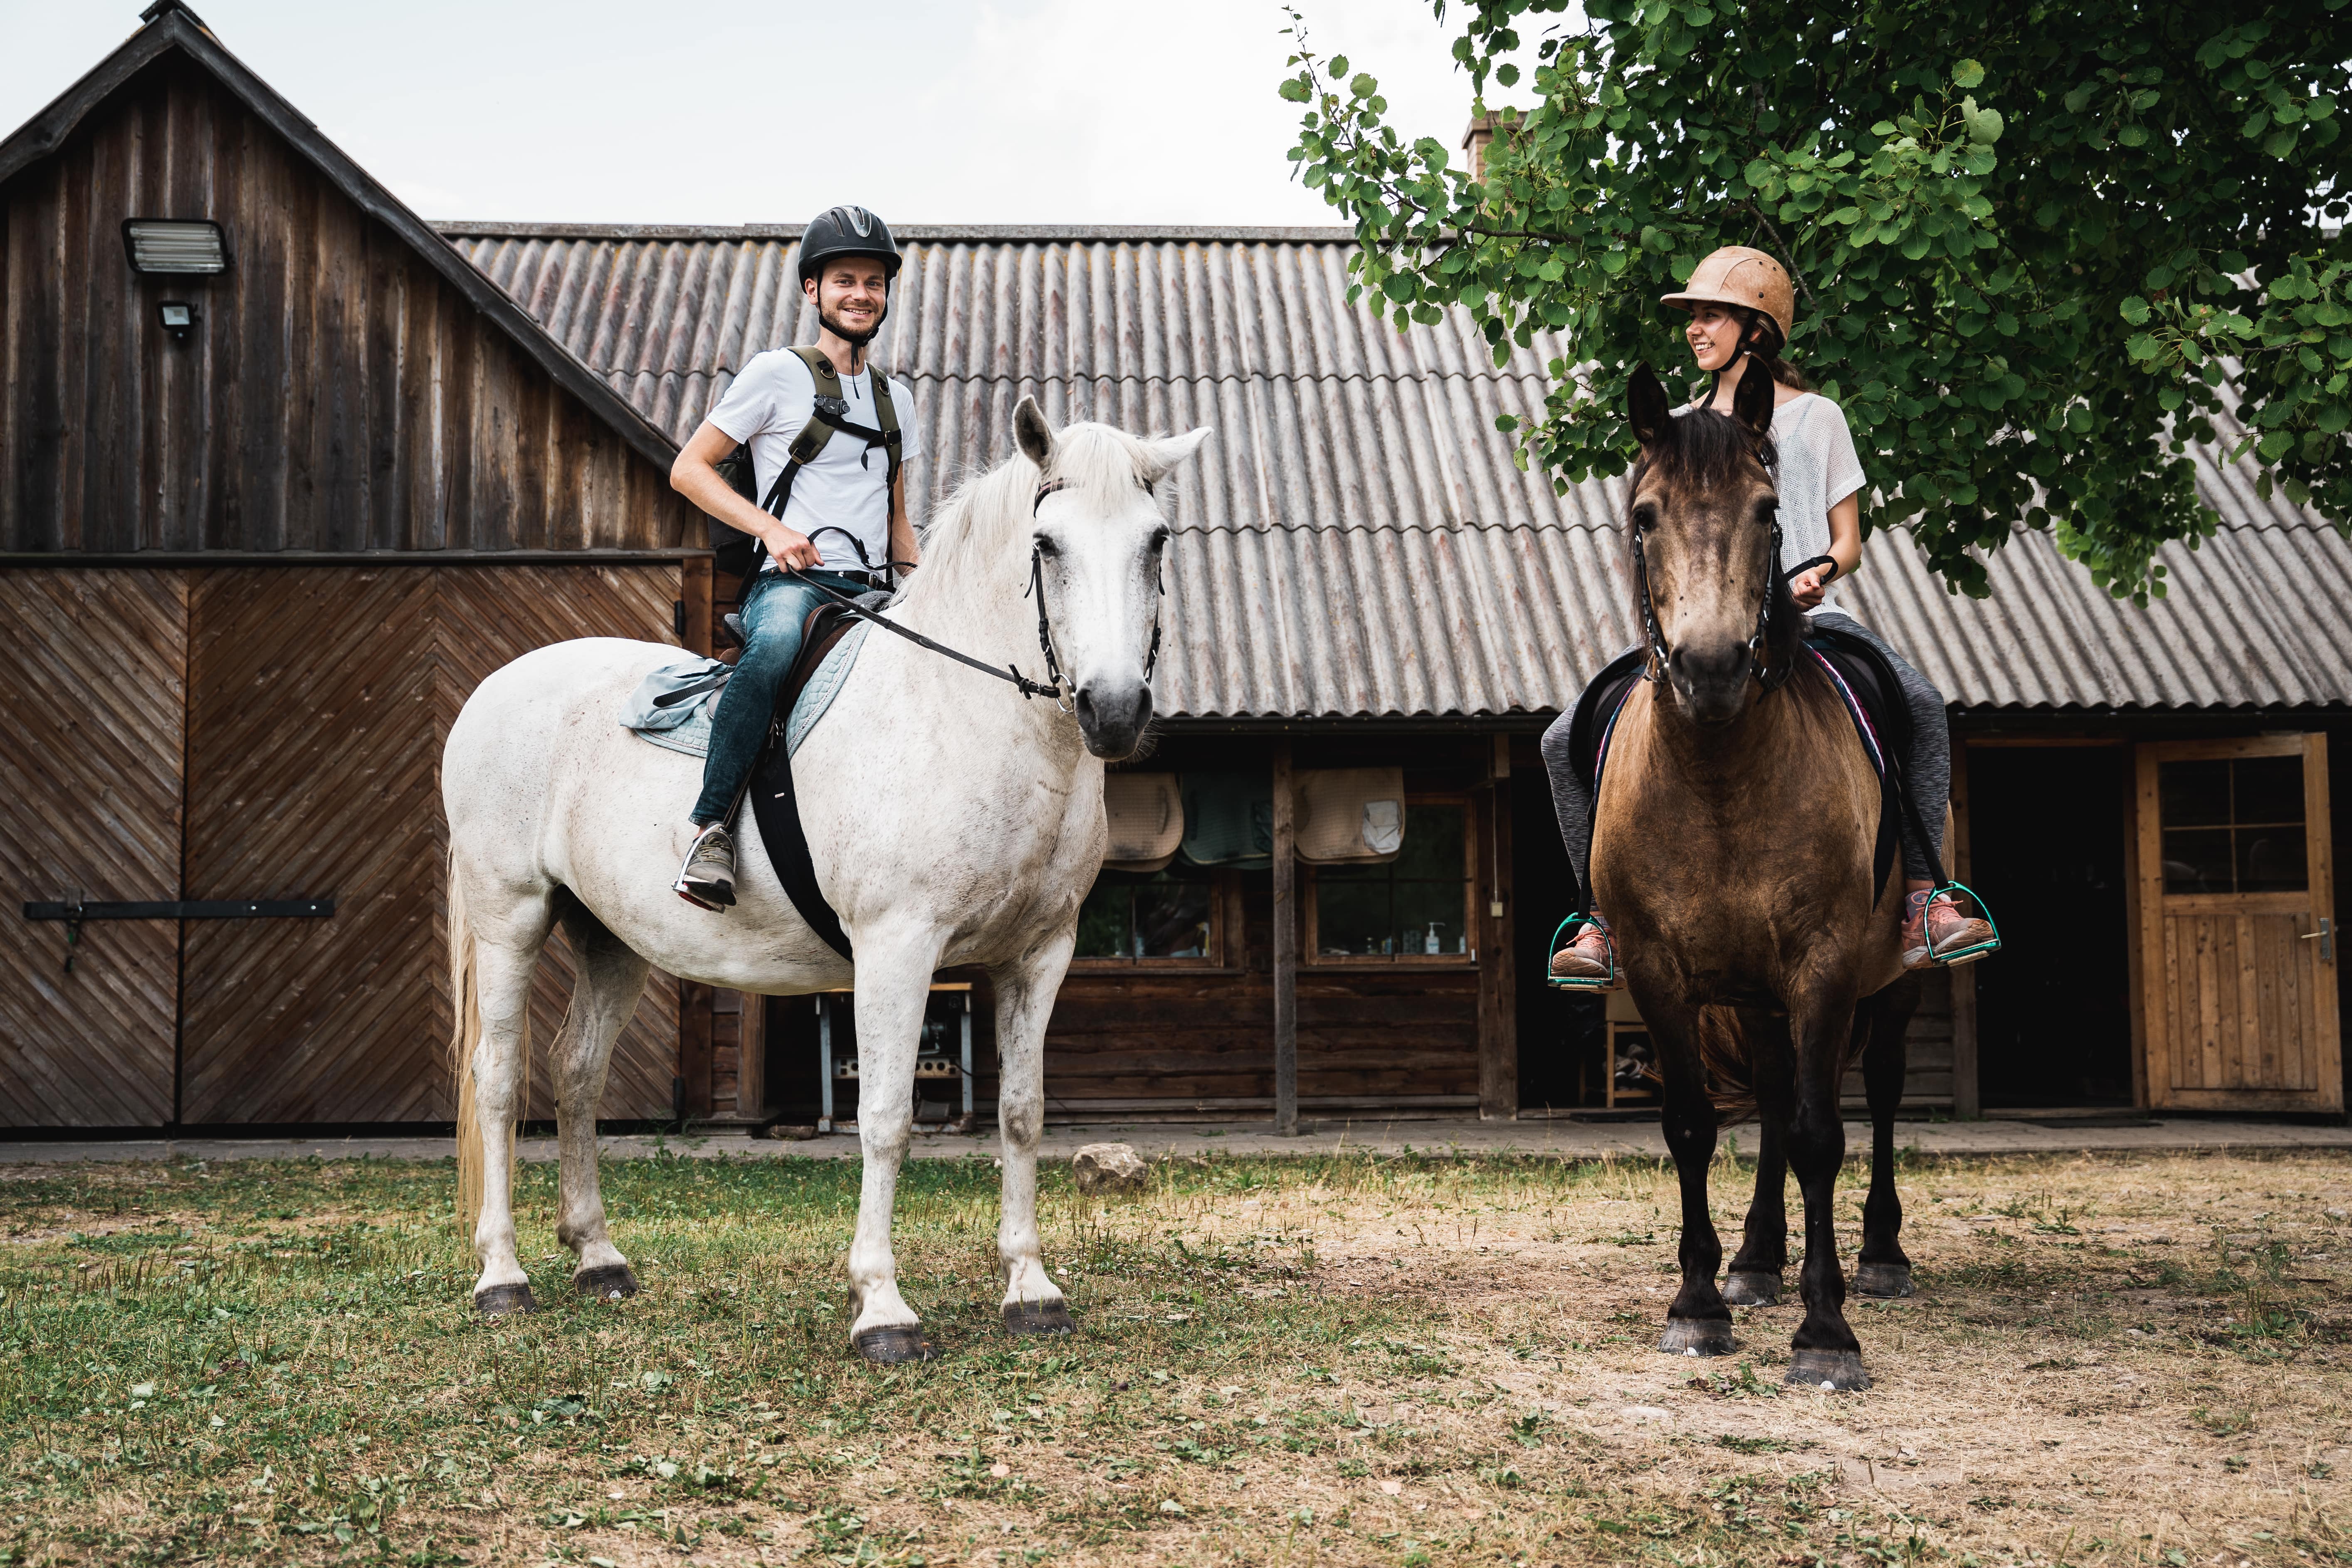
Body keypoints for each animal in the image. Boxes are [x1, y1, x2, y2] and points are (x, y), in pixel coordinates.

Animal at [442, 402, 1213, 1363]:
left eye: (1156, 540)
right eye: (1046, 544)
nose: (1112, 711)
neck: (961, 714)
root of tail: (493, 691)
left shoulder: (1040, 954)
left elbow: (1022, 1113)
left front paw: (1030, 1289)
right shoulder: (897, 947)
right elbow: (884, 1117)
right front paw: (882, 1306)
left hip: (611, 939)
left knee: (576, 1072)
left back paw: (599, 1259)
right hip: (509, 918)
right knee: (500, 1078)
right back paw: (502, 1274)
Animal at [1590, 362, 1919, 1391]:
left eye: (1768, 508)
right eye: (1645, 513)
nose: (1708, 669)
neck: (1719, 772)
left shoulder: (1823, 963)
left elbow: (1821, 1134)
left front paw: (1825, 1330)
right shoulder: (1659, 972)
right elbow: (1694, 1126)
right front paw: (1698, 1303)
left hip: (1889, 980)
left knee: (1878, 1092)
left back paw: (1880, 1255)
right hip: (1758, 998)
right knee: (1773, 1098)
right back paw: (1755, 1259)